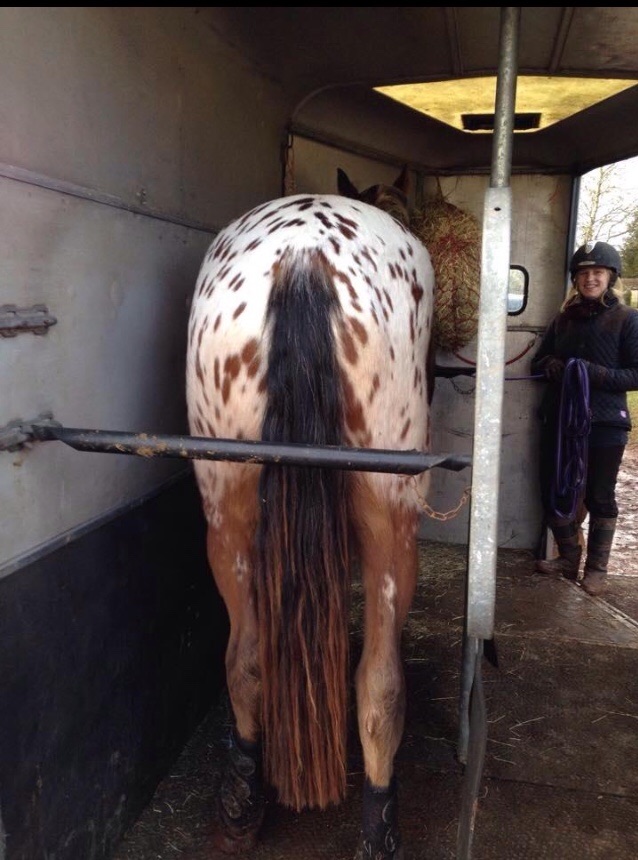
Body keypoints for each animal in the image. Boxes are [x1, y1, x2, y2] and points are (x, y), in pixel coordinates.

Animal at [182, 165, 438, 856]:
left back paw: (242, 804)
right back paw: (379, 823)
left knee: (245, 660)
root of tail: (302, 255)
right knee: (379, 683)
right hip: (391, 519)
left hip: (227, 509)